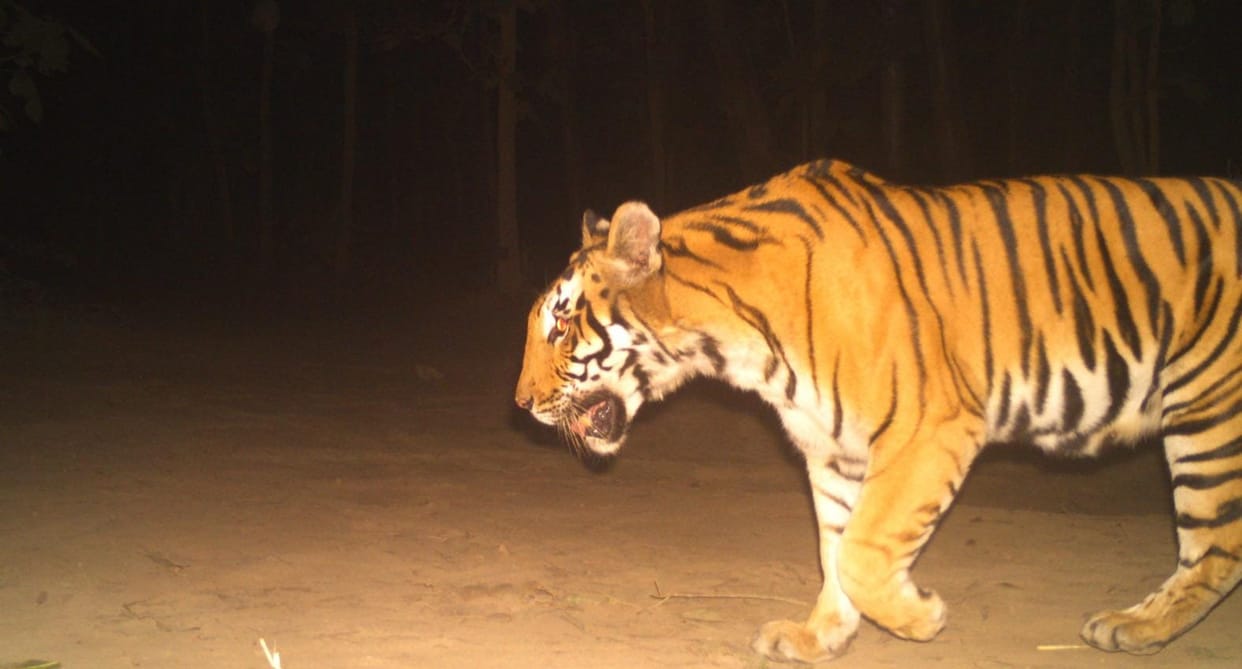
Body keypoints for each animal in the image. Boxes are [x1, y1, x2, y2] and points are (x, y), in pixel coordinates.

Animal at [514, 159, 1242, 662]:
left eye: (560, 326)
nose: (519, 403)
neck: (735, 341)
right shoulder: (833, 449)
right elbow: (836, 549)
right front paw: (820, 638)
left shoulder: (929, 429)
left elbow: (862, 553)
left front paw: (921, 616)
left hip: (1207, 407)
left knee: (1215, 548)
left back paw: (1134, 627)